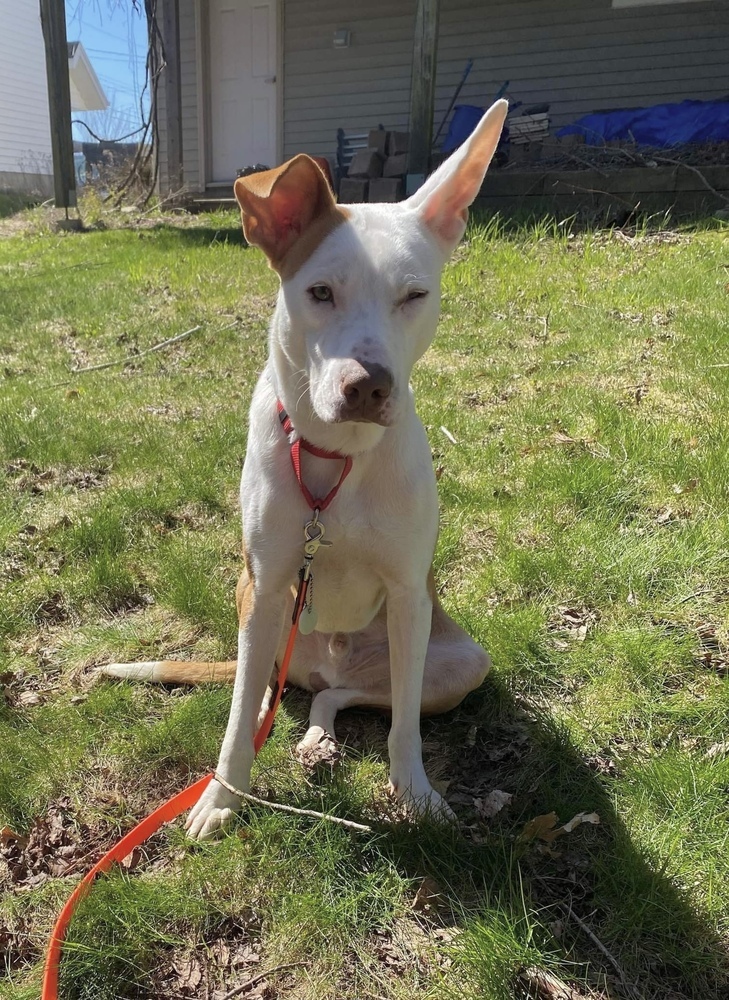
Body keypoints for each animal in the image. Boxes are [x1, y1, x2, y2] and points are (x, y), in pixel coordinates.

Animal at [104, 101, 506, 840]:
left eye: (413, 295)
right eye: (320, 292)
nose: (369, 386)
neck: (334, 455)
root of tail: (319, 665)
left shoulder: (409, 597)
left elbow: (403, 728)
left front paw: (415, 794)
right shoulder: (262, 591)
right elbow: (238, 722)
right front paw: (221, 798)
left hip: (457, 660)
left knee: (349, 696)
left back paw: (321, 737)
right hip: (265, 633)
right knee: (278, 694)